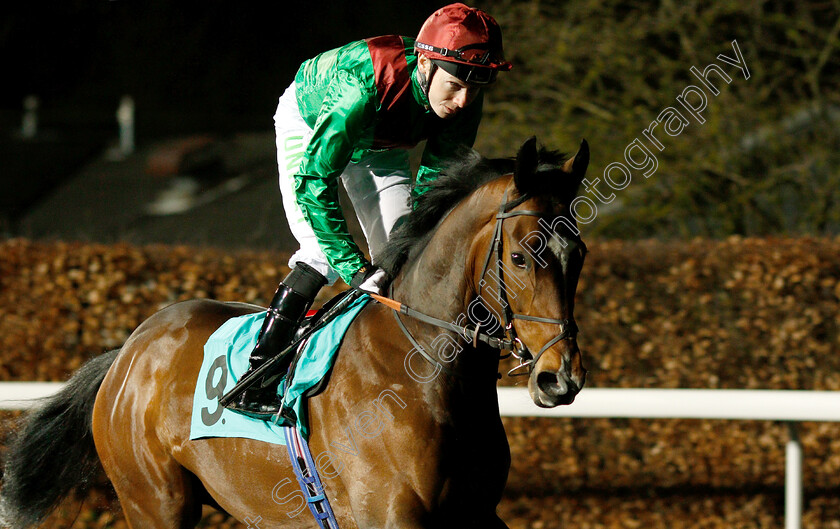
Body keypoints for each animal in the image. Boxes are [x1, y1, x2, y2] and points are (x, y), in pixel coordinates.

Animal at [1, 137, 592, 528]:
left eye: (579, 252)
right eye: (521, 256)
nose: (560, 379)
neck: (422, 370)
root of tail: (127, 353)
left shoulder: (477, 513)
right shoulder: (389, 516)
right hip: (155, 502)